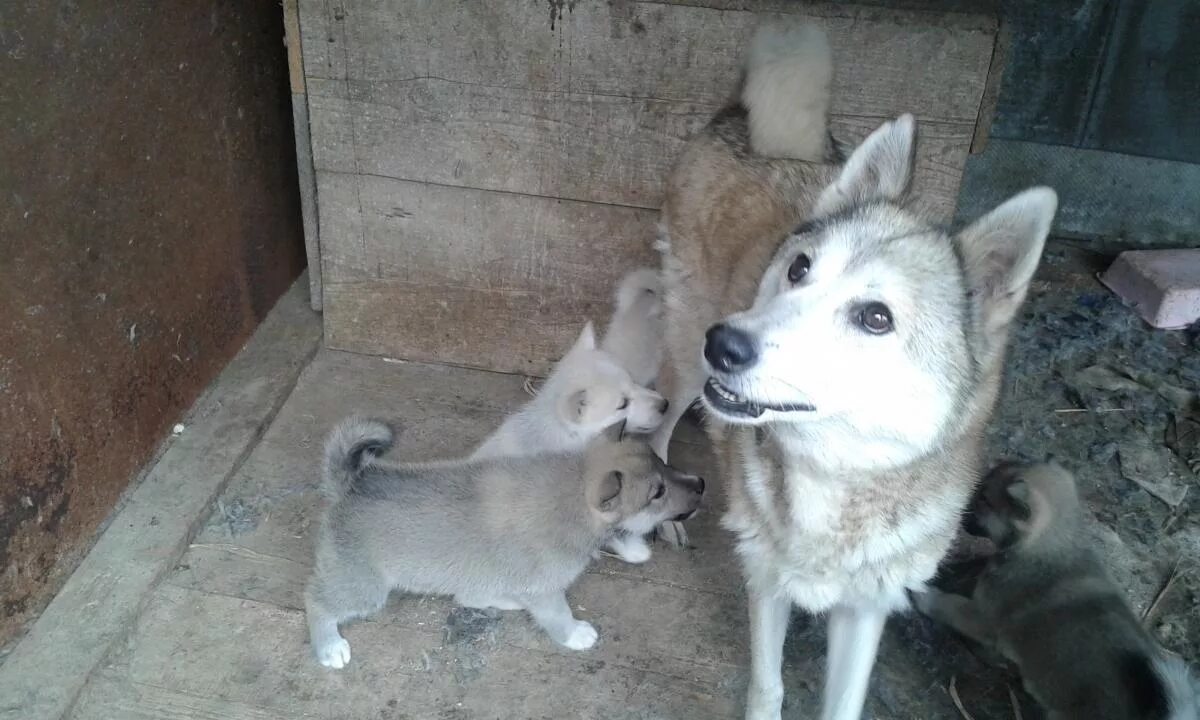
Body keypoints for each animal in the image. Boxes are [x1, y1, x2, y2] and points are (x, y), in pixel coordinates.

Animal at [304, 415, 705, 667]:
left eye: (662, 463)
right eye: (657, 493)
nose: (701, 484)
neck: (575, 487)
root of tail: (349, 487)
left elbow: (617, 534)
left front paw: (632, 546)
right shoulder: (545, 589)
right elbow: (558, 614)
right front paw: (574, 635)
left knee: (469, 595)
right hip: (364, 588)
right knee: (317, 602)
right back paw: (329, 648)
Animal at [652, 22, 1056, 720]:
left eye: (875, 318)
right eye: (800, 267)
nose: (724, 344)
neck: (835, 474)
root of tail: (739, 119)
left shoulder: (868, 607)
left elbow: (843, 702)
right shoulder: (767, 576)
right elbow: (767, 686)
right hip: (682, 355)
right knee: (654, 415)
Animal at [912, 463, 1195, 715]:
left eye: (983, 500)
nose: (956, 512)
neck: (1054, 543)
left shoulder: (982, 617)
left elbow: (948, 605)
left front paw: (924, 596)